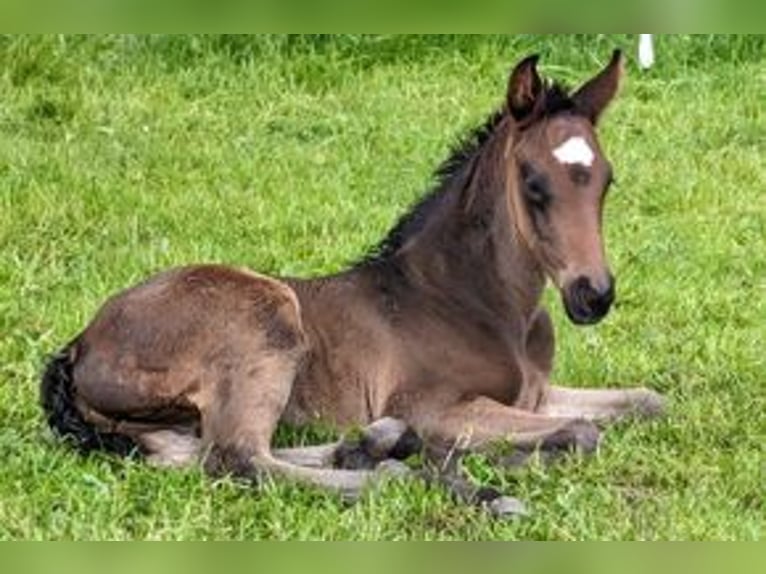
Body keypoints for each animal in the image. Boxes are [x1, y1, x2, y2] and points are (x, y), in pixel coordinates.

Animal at [42, 49, 664, 500]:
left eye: (607, 180)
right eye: (534, 184)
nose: (594, 295)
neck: (477, 302)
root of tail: (80, 344)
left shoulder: (535, 396)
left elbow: (648, 402)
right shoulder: (434, 405)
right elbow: (582, 431)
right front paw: (490, 461)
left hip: (155, 422)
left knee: (190, 453)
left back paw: (375, 446)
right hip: (267, 317)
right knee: (236, 458)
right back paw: (398, 472)